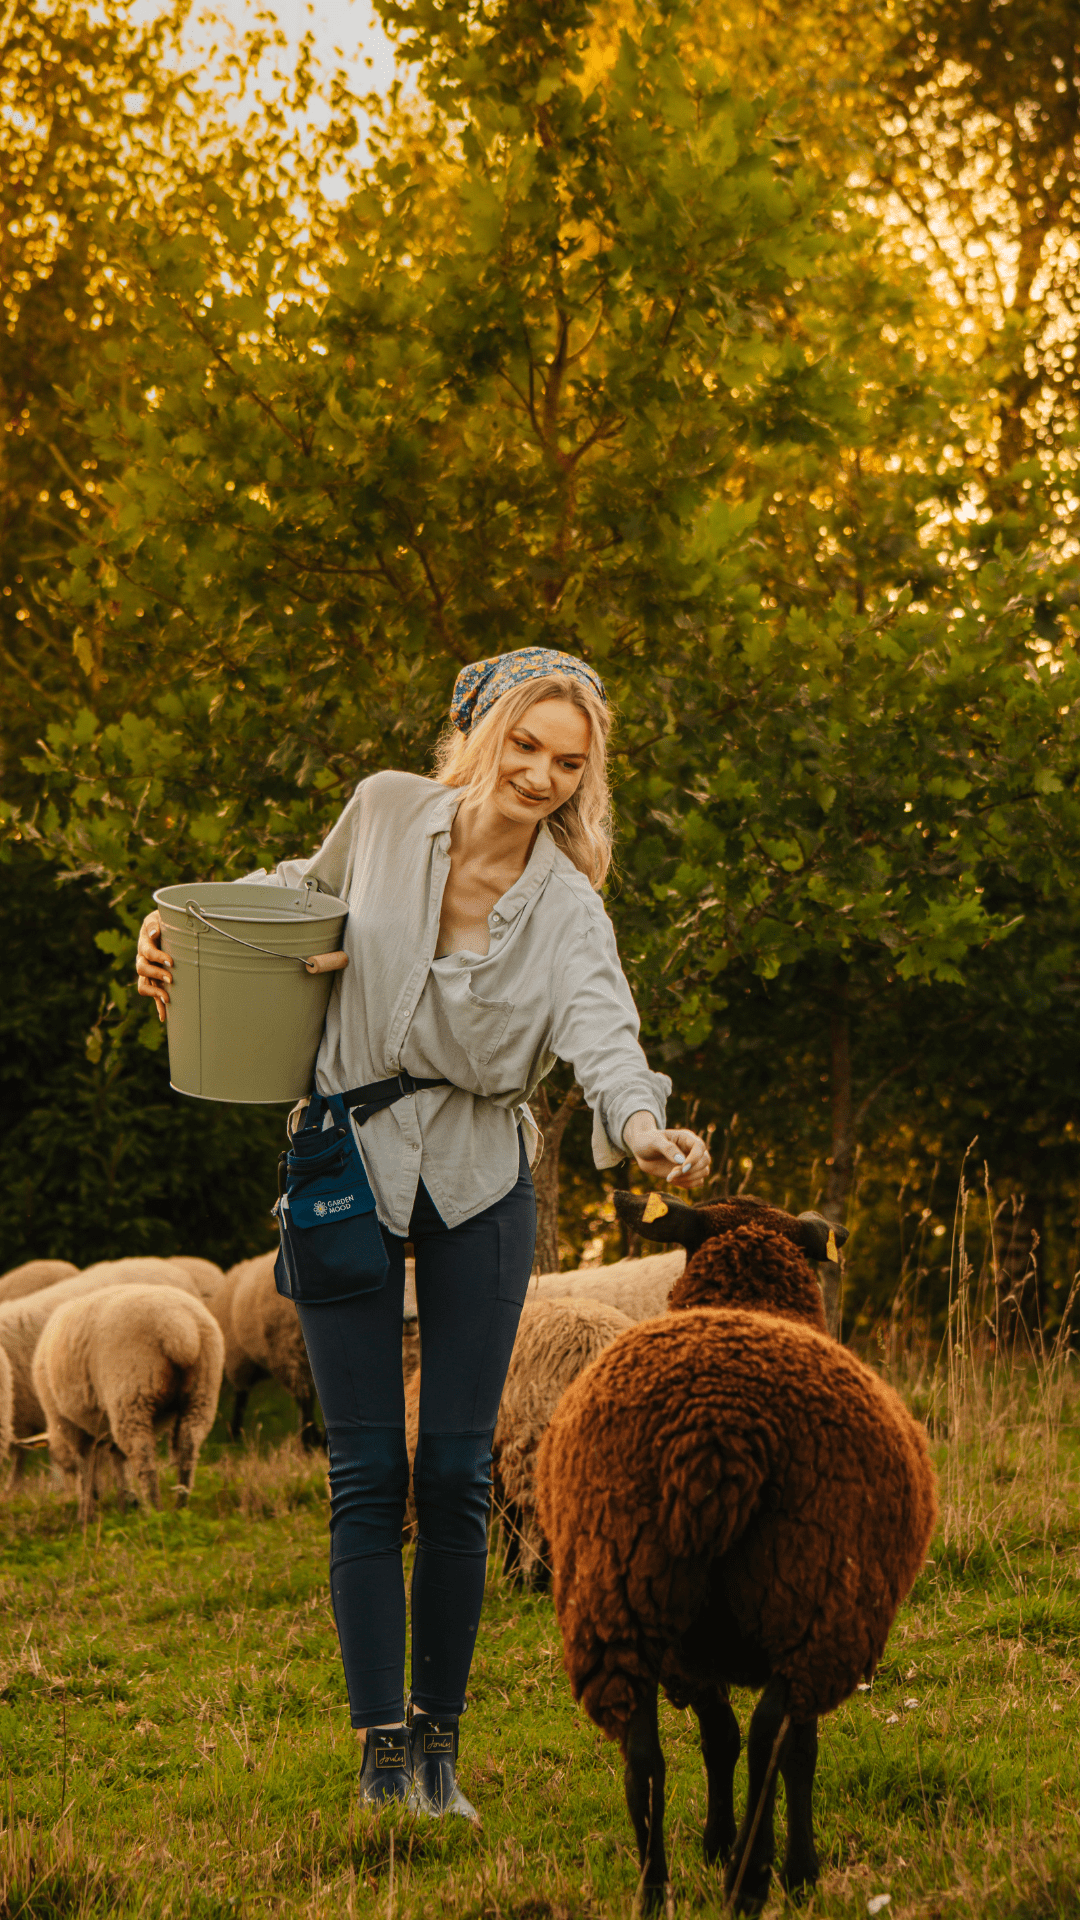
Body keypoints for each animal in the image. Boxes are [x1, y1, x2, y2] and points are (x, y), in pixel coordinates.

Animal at [32, 1282, 223, 1520]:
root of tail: (179, 1326)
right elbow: (116, 1458)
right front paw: (125, 1505)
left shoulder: (68, 1422)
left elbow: (86, 1464)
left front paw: (86, 1514)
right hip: (202, 1390)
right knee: (190, 1442)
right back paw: (181, 1505)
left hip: (131, 1393)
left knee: (142, 1453)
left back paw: (155, 1510)